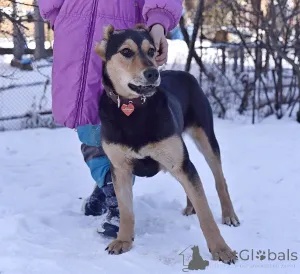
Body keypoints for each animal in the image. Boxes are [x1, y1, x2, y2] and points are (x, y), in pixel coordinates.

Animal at [95, 24, 240, 264]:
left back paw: (229, 214)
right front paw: (123, 241)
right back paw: (190, 206)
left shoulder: (179, 162)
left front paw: (221, 250)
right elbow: (126, 210)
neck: (133, 109)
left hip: (204, 139)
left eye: (152, 50)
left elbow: (206, 214)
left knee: (219, 179)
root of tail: (185, 73)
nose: (153, 73)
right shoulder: (120, 168)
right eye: (126, 52)